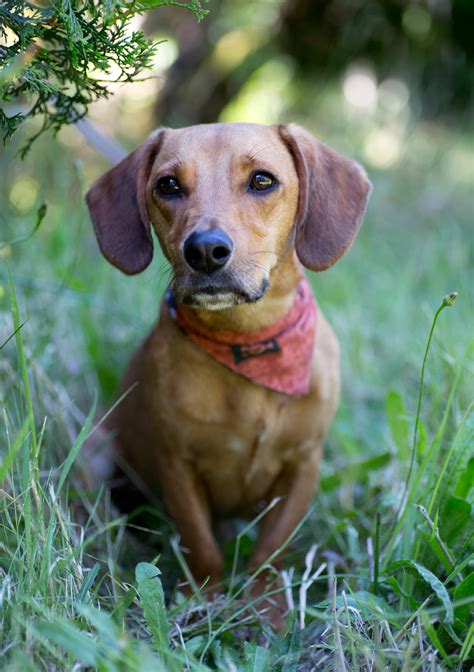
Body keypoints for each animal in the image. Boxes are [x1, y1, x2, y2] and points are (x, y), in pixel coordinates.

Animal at [87, 122, 372, 620]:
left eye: (262, 180)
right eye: (168, 185)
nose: (204, 250)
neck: (249, 345)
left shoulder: (303, 464)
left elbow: (271, 549)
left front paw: (267, 608)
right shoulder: (178, 466)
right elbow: (201, 543)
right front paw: (204, 598)